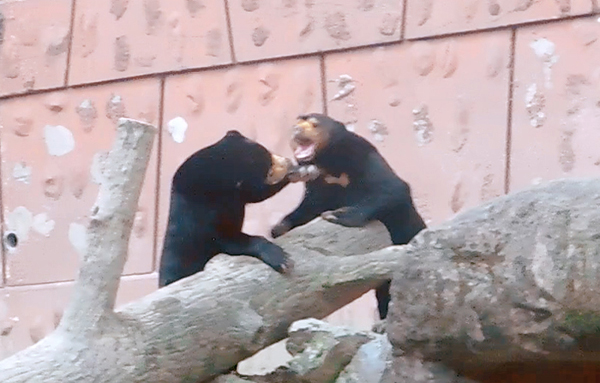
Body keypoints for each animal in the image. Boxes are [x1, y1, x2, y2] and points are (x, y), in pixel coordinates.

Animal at [272, 114, 426, 320]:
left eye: (314, 123)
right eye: (297, 123)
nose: (296, 130)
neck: (328, 166)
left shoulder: (362, 158)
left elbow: (392, 189)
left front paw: (336, 215)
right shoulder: (318, 187)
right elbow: (307, 208)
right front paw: (279, 228)